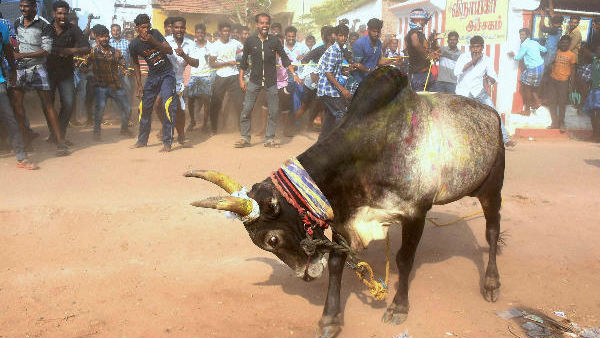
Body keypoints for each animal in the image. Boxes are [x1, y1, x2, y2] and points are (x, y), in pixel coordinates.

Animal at [185, 67, 504, 336]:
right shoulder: (342, 218)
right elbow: (337, 263)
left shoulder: (416, 213)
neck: (368, 150)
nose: (305, 276)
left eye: (272, 240)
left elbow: (404, 259)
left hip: (492, 189)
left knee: (491, 232)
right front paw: (330, 319)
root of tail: (491, 113)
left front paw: (398, 307)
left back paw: (491, 282)